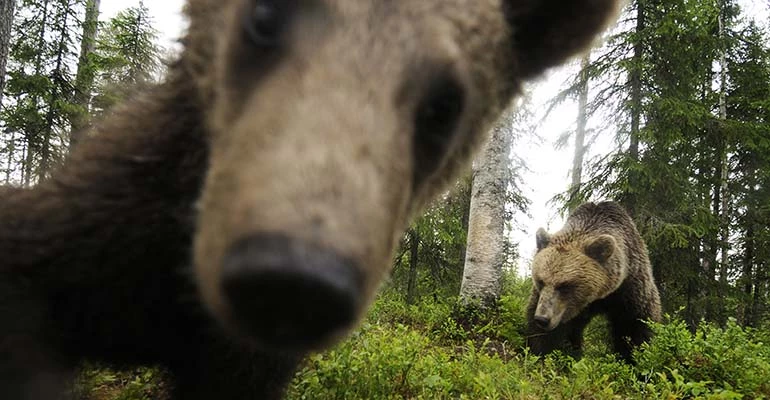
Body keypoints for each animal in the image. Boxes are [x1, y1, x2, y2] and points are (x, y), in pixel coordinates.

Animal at [524, 202, 664, 360]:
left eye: (565, 285)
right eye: (540, 281)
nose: (542, 319)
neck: (597, 297)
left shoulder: (630, 289)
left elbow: (635, 326)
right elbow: (547, 335)